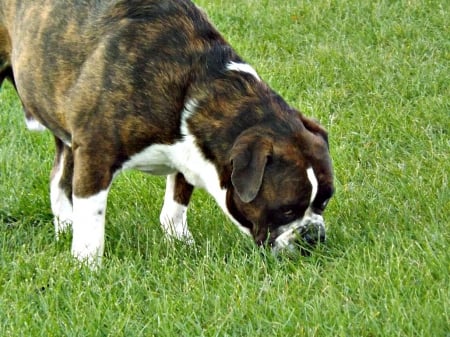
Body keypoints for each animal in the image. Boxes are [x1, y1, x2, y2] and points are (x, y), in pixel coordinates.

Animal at [0, 0, 334, 266]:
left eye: (324, 201)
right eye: (287, 210)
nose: (312, 234)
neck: (195, 84)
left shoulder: (190, 153)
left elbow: (176, 202)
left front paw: (179, 241)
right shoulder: (96, 155)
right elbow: (92, 217)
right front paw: (87, 265)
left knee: (58, 176)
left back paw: (65, 226)